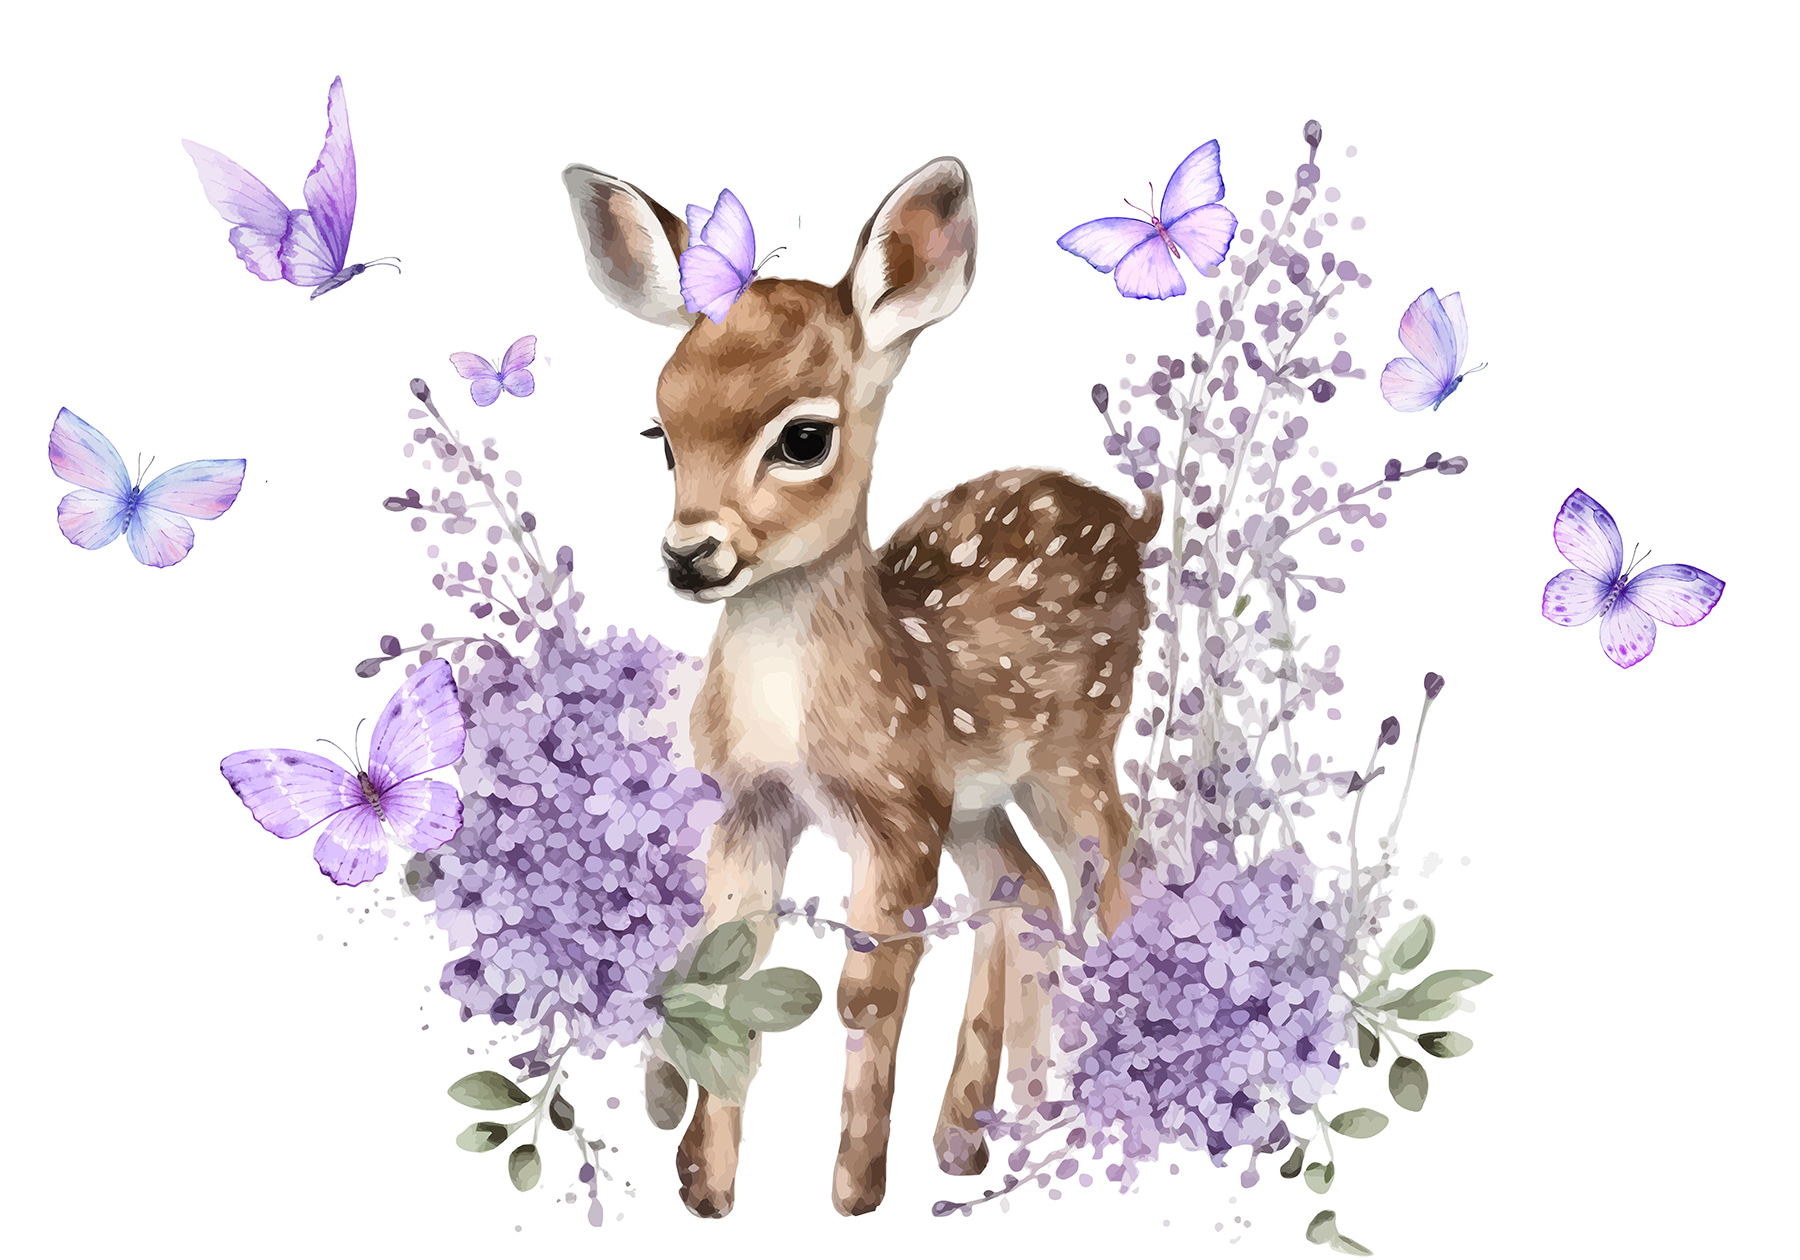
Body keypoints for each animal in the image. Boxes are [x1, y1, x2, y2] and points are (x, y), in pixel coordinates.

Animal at [560, 156, 1160, 1218]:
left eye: (803, 437)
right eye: (660, 432)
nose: (689, 555)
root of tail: (1133, 521)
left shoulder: (897, 808)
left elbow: (867, 989)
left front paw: (852, 1189)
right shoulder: (755, 802)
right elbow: (726, 963)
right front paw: (703, 1181)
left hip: (1073, 748)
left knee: (1116, 871)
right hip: (978, 802)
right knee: (1026, 896)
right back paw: (985, 1127)